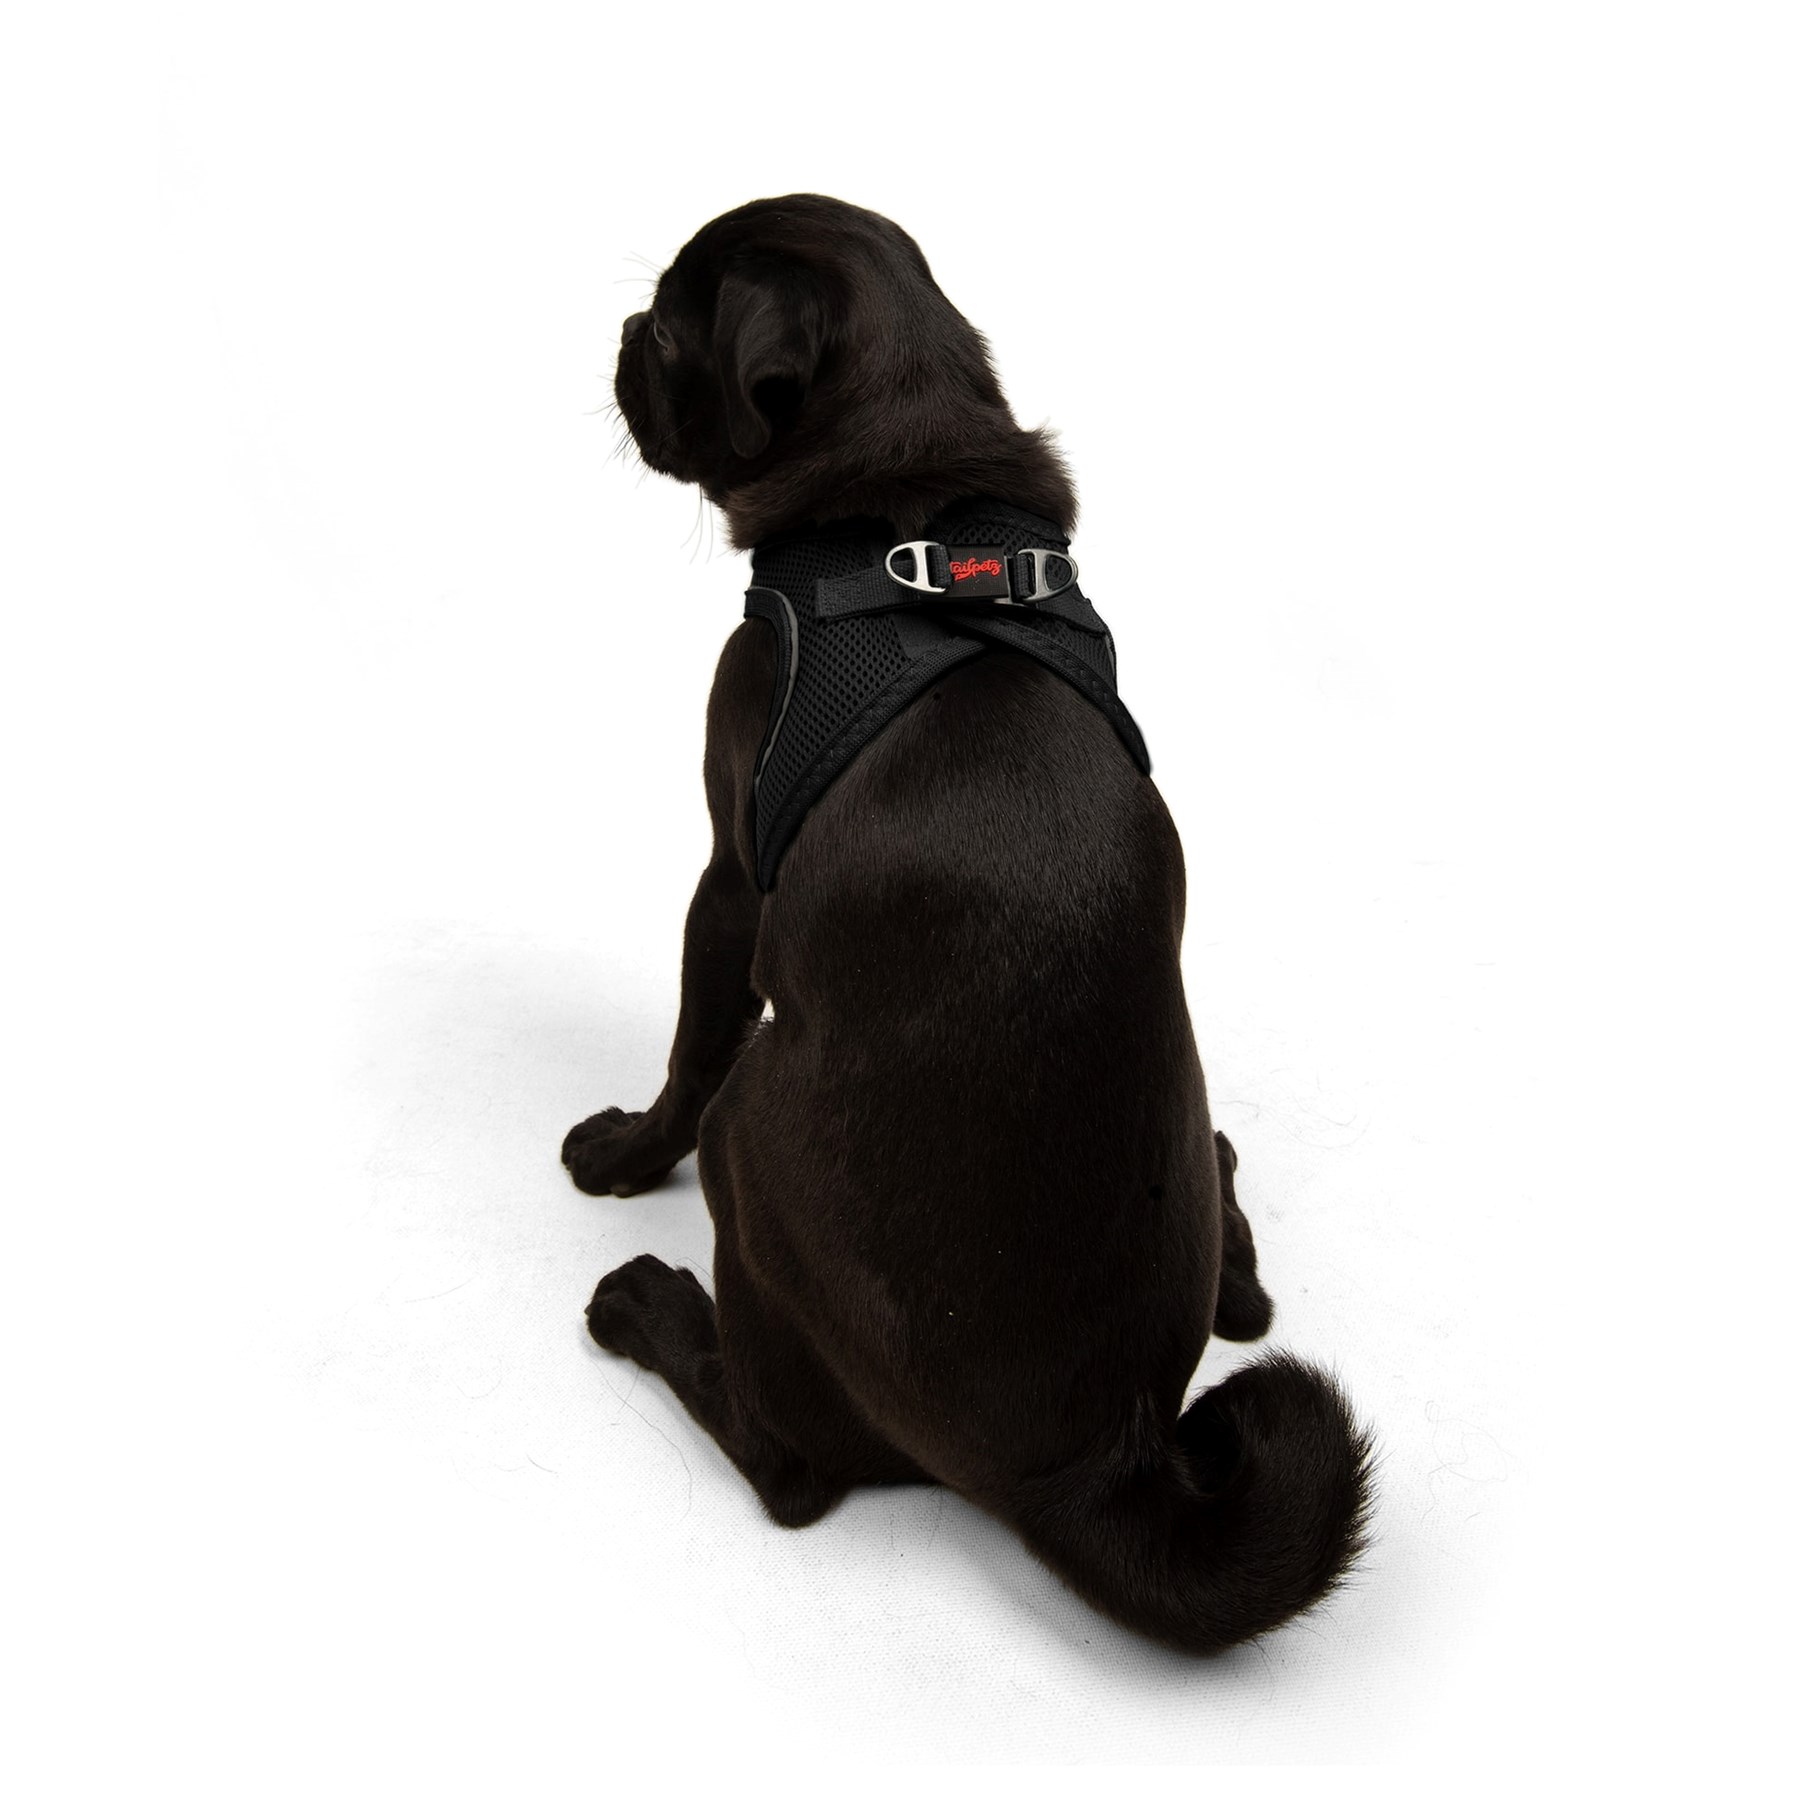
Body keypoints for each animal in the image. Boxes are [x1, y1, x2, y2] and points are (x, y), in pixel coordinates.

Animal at [566, 195, 1372, 1653]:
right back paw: (1229, 1204)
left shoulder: (728, 875)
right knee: (1248, 1295)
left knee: (792, 1468)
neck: (912, 508)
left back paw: (651, 1311)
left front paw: (621, 1157)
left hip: (751, 1135)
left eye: (664, 332)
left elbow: (688, 1046)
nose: (622, 331)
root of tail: (1096, 1463)